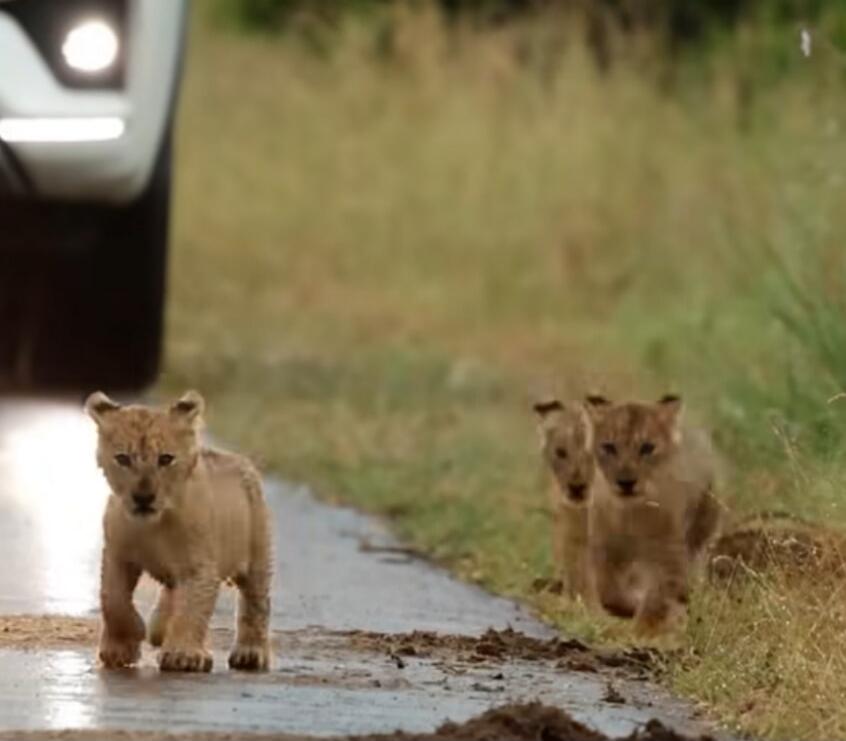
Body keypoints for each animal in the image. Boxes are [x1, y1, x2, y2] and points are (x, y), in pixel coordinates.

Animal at [86, 390, 272, 673]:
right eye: (123, 459)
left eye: (165, 459)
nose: (143, 497)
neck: (153, 525)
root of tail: (239, 459)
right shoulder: (117, 556)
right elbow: (112, 599)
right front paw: (121, 648)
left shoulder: (200, 567)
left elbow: (191, 609)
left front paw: (182, 655)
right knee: (170, 594)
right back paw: (158, 629)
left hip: (257, 553)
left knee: (255, 602)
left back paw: (250, 654)